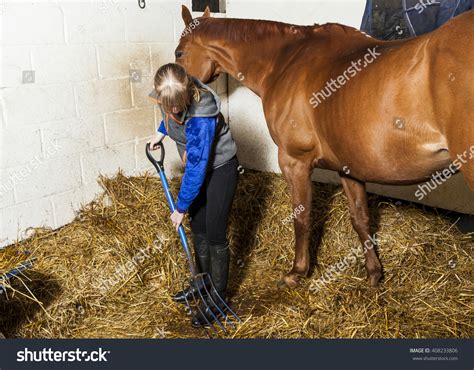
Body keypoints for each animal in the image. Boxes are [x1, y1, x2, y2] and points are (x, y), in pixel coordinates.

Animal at [175, 5, 474, 290]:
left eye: (179, 53)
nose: (176, 111)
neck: (285, 62)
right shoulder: (349, 167)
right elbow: (360, 219)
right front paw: (374, 273)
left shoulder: (294, 161)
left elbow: (302, 217)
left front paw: (297, 272)